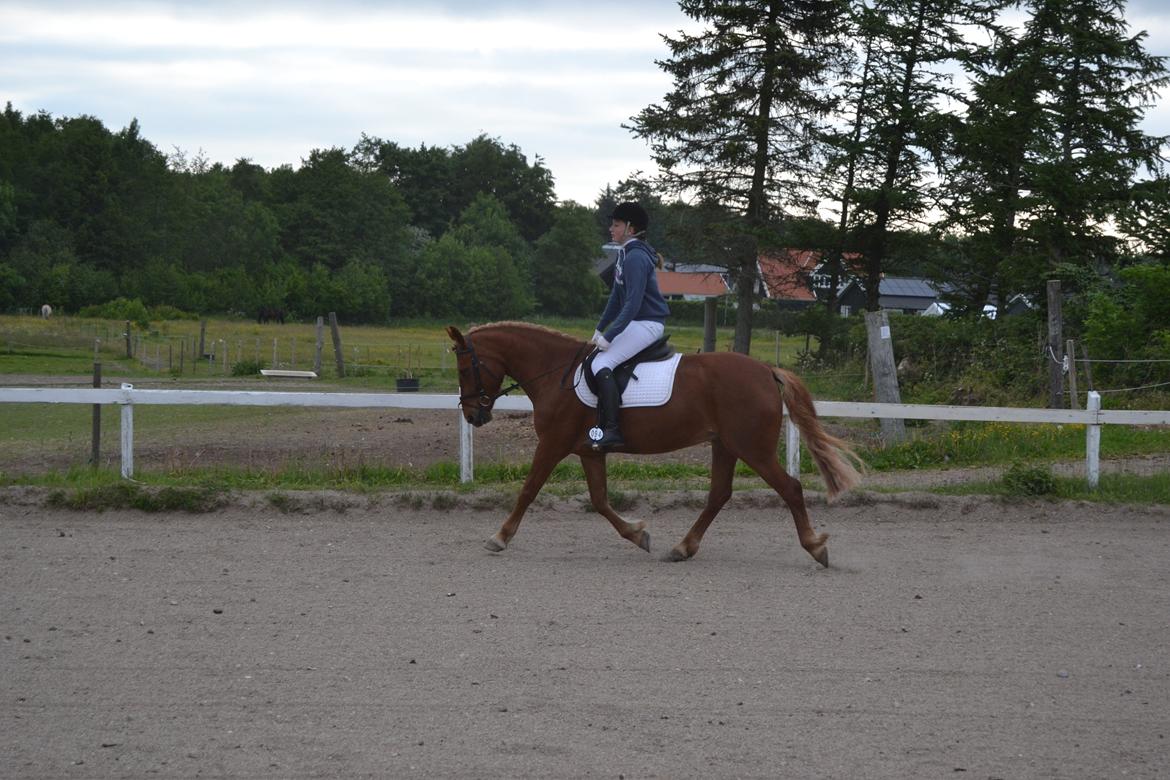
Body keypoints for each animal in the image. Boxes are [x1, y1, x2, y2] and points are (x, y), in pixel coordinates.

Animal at [442, 320, 865, 563]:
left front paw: (499, 538)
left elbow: (528, 490)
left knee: (790, 488)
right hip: (726, 445)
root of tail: (765, 370)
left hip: (752, 448)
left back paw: (815, 546)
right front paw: (637, 534)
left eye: (464, 368)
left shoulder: (553, 444)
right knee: (719, 495)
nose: (473, 416)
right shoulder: (588, 450)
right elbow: (599, 500)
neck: (555, 373)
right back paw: (683, 548)